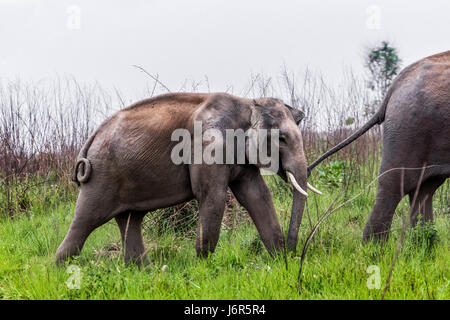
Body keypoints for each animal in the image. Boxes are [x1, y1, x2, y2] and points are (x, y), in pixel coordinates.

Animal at [56, 92, 322, 264]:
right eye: (282, 139)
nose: (294, 254)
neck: (246, 103)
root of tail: (93, 137)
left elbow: (257, 195)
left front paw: (279, 261)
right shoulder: (208, 147)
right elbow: (212, 196)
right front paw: (204, 267)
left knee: (130, 218)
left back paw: (144, 271)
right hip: (101, 176)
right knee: (87, 218)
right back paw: (60, 269)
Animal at [308, 50, 450, 240]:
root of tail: (396, 85)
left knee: (425, 188)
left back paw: (425, 243)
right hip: (409, 127)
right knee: (395, 184)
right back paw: (374, 246)